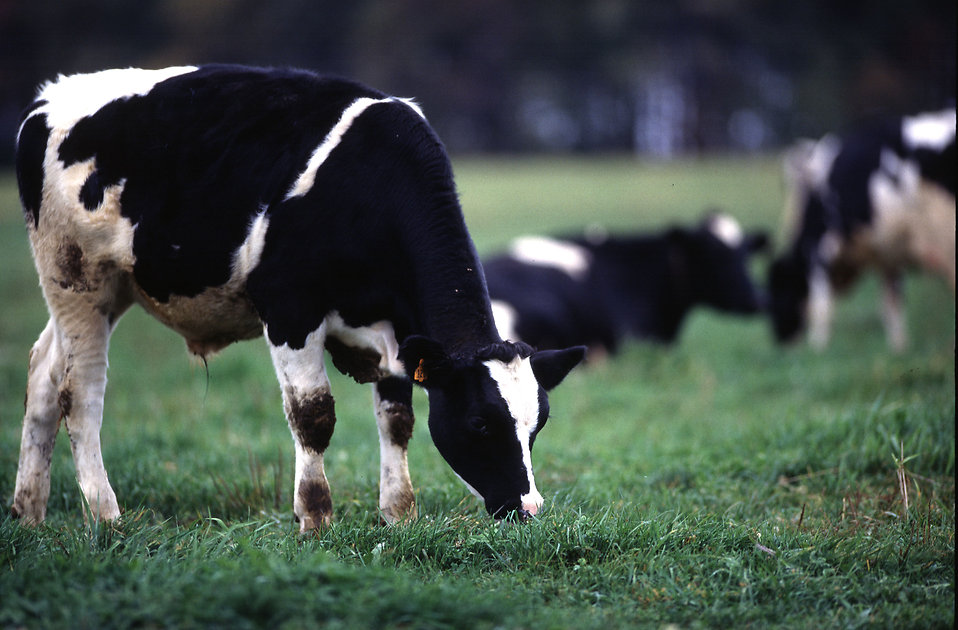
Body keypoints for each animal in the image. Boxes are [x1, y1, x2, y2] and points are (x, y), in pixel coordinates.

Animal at [12, 65, 585, 530]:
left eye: (538, 425)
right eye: (480, 422)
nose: (529, 508)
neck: (366, 184)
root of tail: (48, 98)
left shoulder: (401, 328)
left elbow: (397, 418)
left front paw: (398, 514)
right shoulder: (290, 307)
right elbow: (314, 416)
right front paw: (315, 517)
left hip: (110, 291)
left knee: (43, 374)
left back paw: (28, 512)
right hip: (75, 279)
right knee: (79, 391)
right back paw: (105, 514)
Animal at [769, 109, 956, 351]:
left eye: (777, 292)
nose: (779, 339)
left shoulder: (819, 249)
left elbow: (821, 302)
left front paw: (818, 346)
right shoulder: (890, 254)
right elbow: (892, 303)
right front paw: (899, 347)